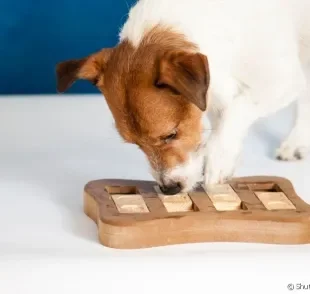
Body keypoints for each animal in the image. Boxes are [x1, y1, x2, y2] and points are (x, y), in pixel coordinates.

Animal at [55, 0, 310, 195]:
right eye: (136, 144)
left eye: (171, 134)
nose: (169, 189)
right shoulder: (215, 96)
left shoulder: (283, 79)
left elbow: (237, 111)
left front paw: (219, 159)